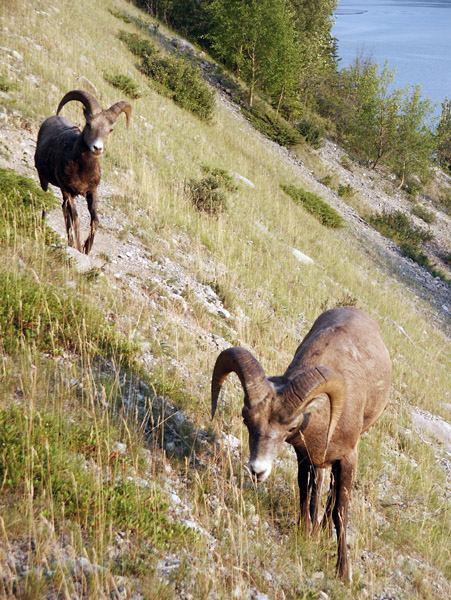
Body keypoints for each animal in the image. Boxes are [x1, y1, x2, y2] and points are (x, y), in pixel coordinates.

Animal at [34, 90, 131, 254]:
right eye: (89, 124)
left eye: (110, 130)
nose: (97, 148)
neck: (81, 170)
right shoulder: (67, 190)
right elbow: (77, 218)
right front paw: (79, 248)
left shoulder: (91, 192)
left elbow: (95, 220)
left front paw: (86, 248)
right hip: (44, 180)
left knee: (64, 209)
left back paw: (70, 241)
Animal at [212, 308, 392, 580]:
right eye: (246, 418)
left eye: (290, 427)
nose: (257, 471)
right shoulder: (304, 455)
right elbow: (305, 493)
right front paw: (306, 534)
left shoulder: (348, 459)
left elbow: (340, 512)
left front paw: (343, 572)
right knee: (318, 488)